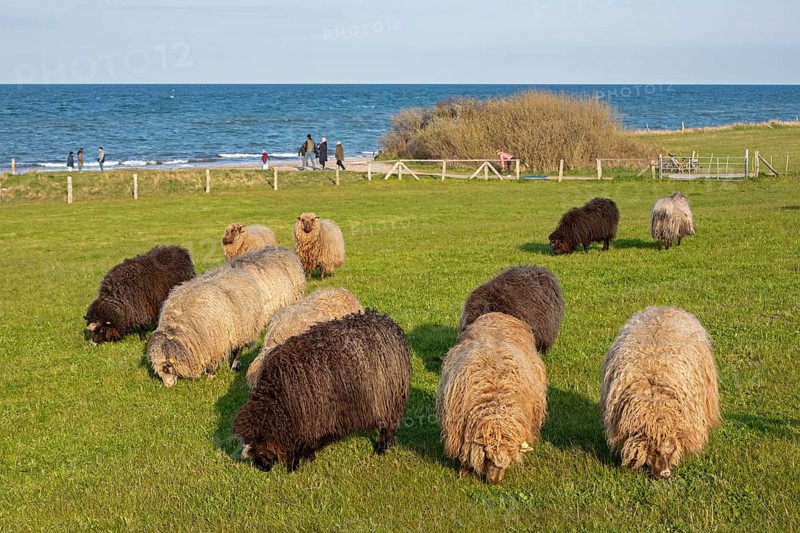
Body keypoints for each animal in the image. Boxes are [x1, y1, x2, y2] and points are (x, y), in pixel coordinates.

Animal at [147, 247, 305, 387]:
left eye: (166, 367)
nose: (167, 386)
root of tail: (282, 249)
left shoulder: (227, 336)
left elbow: (231, 353)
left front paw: (216, 373)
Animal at [234, 309, 411, 472]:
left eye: (259, 448)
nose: (262, 468)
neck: (278, 401)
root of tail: (390, 325)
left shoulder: (308, 419)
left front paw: (294, 466)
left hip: (387, 398)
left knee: (387, 426)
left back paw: (382, 449)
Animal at [437, 312, 547, 485]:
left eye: (509, 460)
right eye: (488, 456)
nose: (495, 482)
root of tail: (498, 313)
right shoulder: (461, 429)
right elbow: (465, 451)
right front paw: (463, 470)